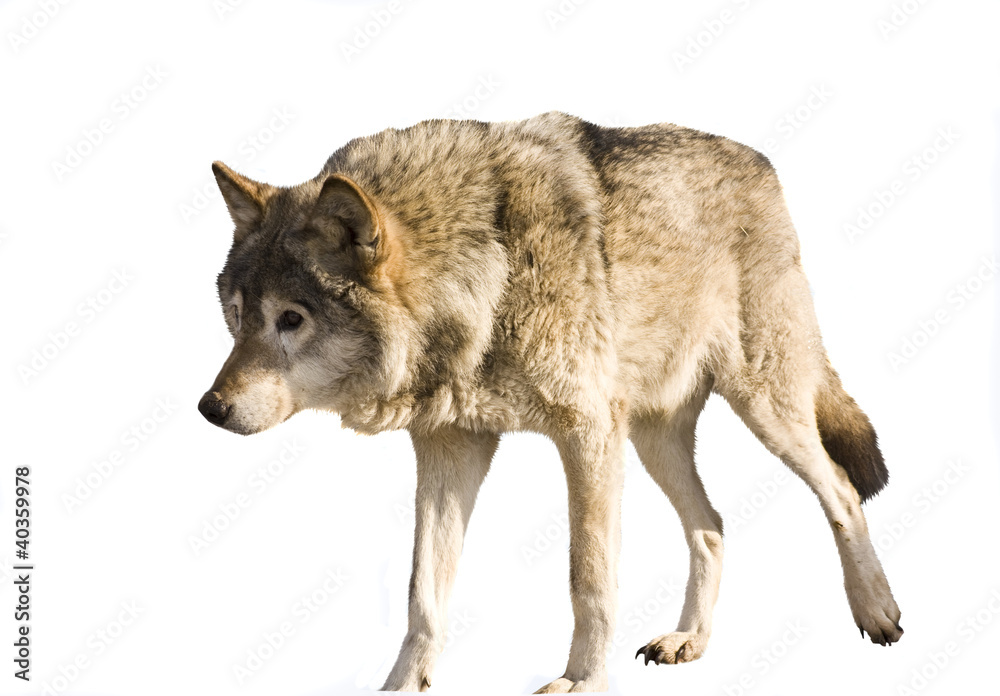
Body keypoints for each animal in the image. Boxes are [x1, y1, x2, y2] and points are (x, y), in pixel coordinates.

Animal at [199, 111, 902, 693]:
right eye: (237, 315)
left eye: (291, 320)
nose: (210, 407)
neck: (484, 272)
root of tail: (761, 162)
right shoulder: (451, 446)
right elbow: (423, 591)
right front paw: (402, 686)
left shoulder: (586, 433)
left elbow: (587, 578)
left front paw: (581, 681)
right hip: (652, 438)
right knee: (712, 525)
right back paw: (690, 642)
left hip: (763, 409)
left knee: (841, 491)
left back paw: (878, 613)